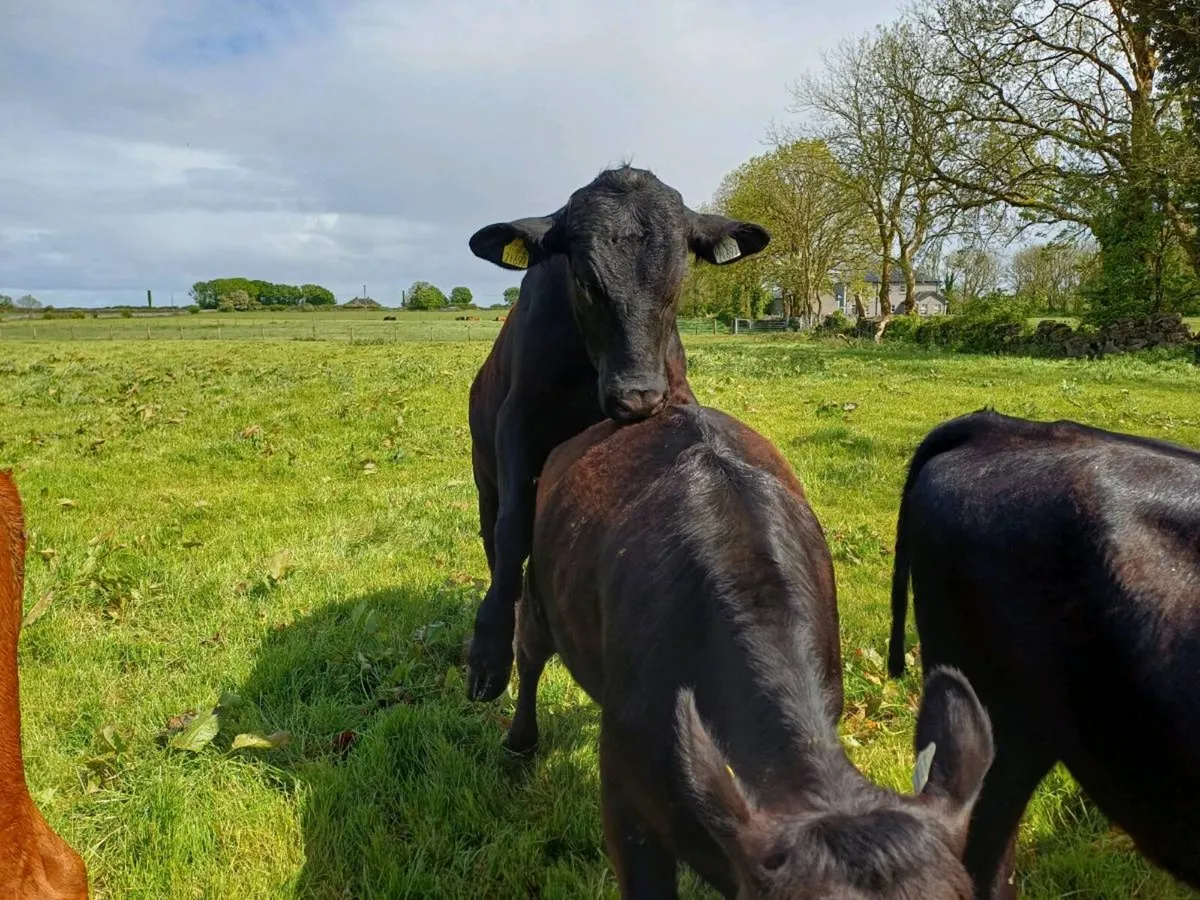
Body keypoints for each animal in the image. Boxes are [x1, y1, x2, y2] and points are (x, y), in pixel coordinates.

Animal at [464, 164, 771, 702]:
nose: (637, 396)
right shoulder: (517, 419)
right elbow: (512, 529)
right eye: (585, 281)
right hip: (485, 478)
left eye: (679, 281)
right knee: (494, 535)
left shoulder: (676, 391)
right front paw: (490, 650)